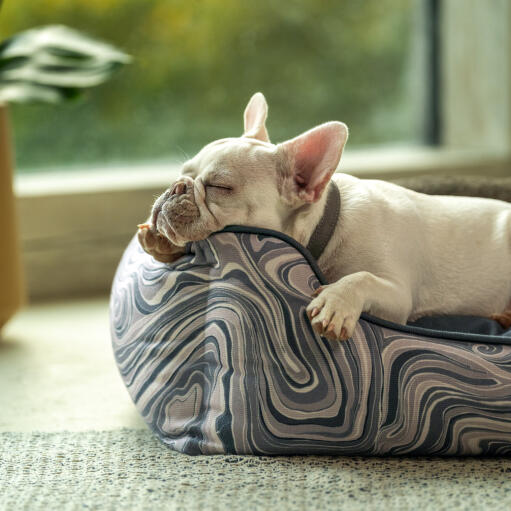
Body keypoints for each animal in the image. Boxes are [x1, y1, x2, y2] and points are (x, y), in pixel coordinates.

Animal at [138, 93, 511, 340]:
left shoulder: (397, 295)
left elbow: (362, 277)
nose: (176, 187)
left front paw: (336, 301)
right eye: (182, 173)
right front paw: (159, 239)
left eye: (219, 186)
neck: (326, 226)